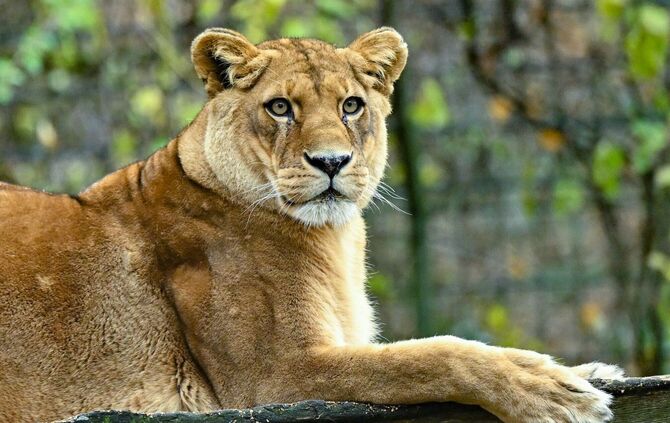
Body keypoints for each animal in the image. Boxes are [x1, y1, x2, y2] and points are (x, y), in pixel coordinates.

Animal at [0, 27, 623, 423]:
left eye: (351, 106)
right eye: (280, 107)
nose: (331, 162)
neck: (334, 238)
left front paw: (585, 371)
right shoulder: (273, 377)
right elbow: (430, 355)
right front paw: (549, 390)